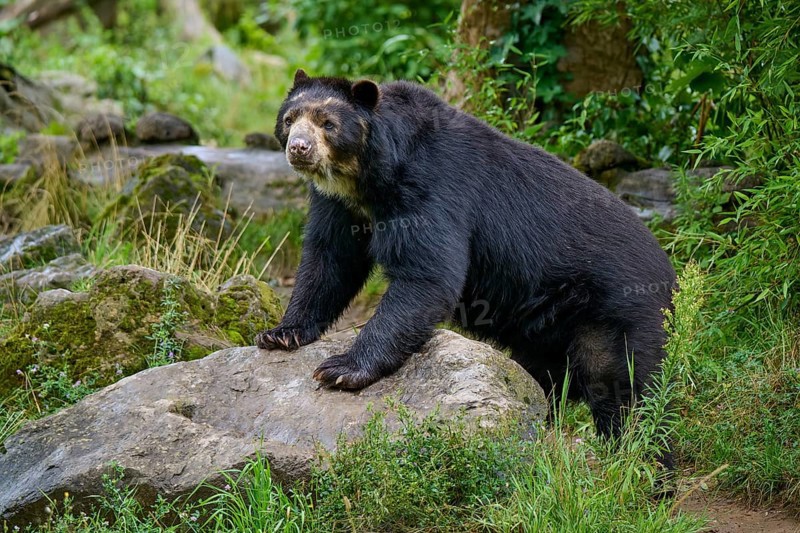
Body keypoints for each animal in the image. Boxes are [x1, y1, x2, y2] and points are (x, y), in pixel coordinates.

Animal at [256, 69, 677, 451]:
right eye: (290, 119)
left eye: (328, 123)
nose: (299, 148)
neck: (367, 178)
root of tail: (671, 276)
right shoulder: (340, 206)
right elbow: (329, 261)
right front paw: (280, 334)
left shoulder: (432, 188)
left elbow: (428, 274)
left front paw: (340, 369)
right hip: (548, 329)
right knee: (545, 378)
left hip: (615, 315)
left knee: (624, 389)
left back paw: (642, 461)